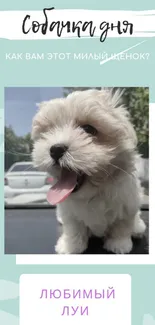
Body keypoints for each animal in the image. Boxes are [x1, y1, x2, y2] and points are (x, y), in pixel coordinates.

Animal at [31, 88, 147, 253]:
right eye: (48, 131)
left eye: (89, 129)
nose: (56, 149)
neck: (93, 193)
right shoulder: (70, 213)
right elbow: (73, 228)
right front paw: (70, 246)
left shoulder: (127, 204)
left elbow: (121, 226)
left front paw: (119, 244)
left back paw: (137, 229)